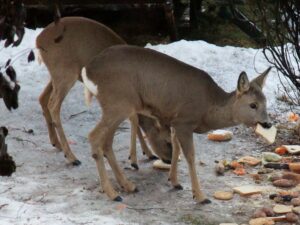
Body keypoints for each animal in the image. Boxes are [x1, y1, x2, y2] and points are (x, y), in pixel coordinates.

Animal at [36, 16, 172, 169]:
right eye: (167, 141)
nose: (169, 160)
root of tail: (39, 41)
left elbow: (134, 119)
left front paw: (146, 153)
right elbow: (134, 119)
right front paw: (134, 159)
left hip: (58, 75)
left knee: (42, 98)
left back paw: (56, 143)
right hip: (65, 72)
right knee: (53, 105)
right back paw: (72, 157)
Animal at [81, 44, 274, 203]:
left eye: (265, 102)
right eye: (253, 105)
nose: (267, 123)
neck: (207, 108)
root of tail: (88, 71)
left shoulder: (174, 122)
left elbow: (176, 149)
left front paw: (174, 182)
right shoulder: (184, 121)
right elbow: (190, 155)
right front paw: (200, 196)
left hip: (117, 107)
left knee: (107, 142)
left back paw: (128, 186)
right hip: (118, 103)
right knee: (94, 136)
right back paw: (113, 193)